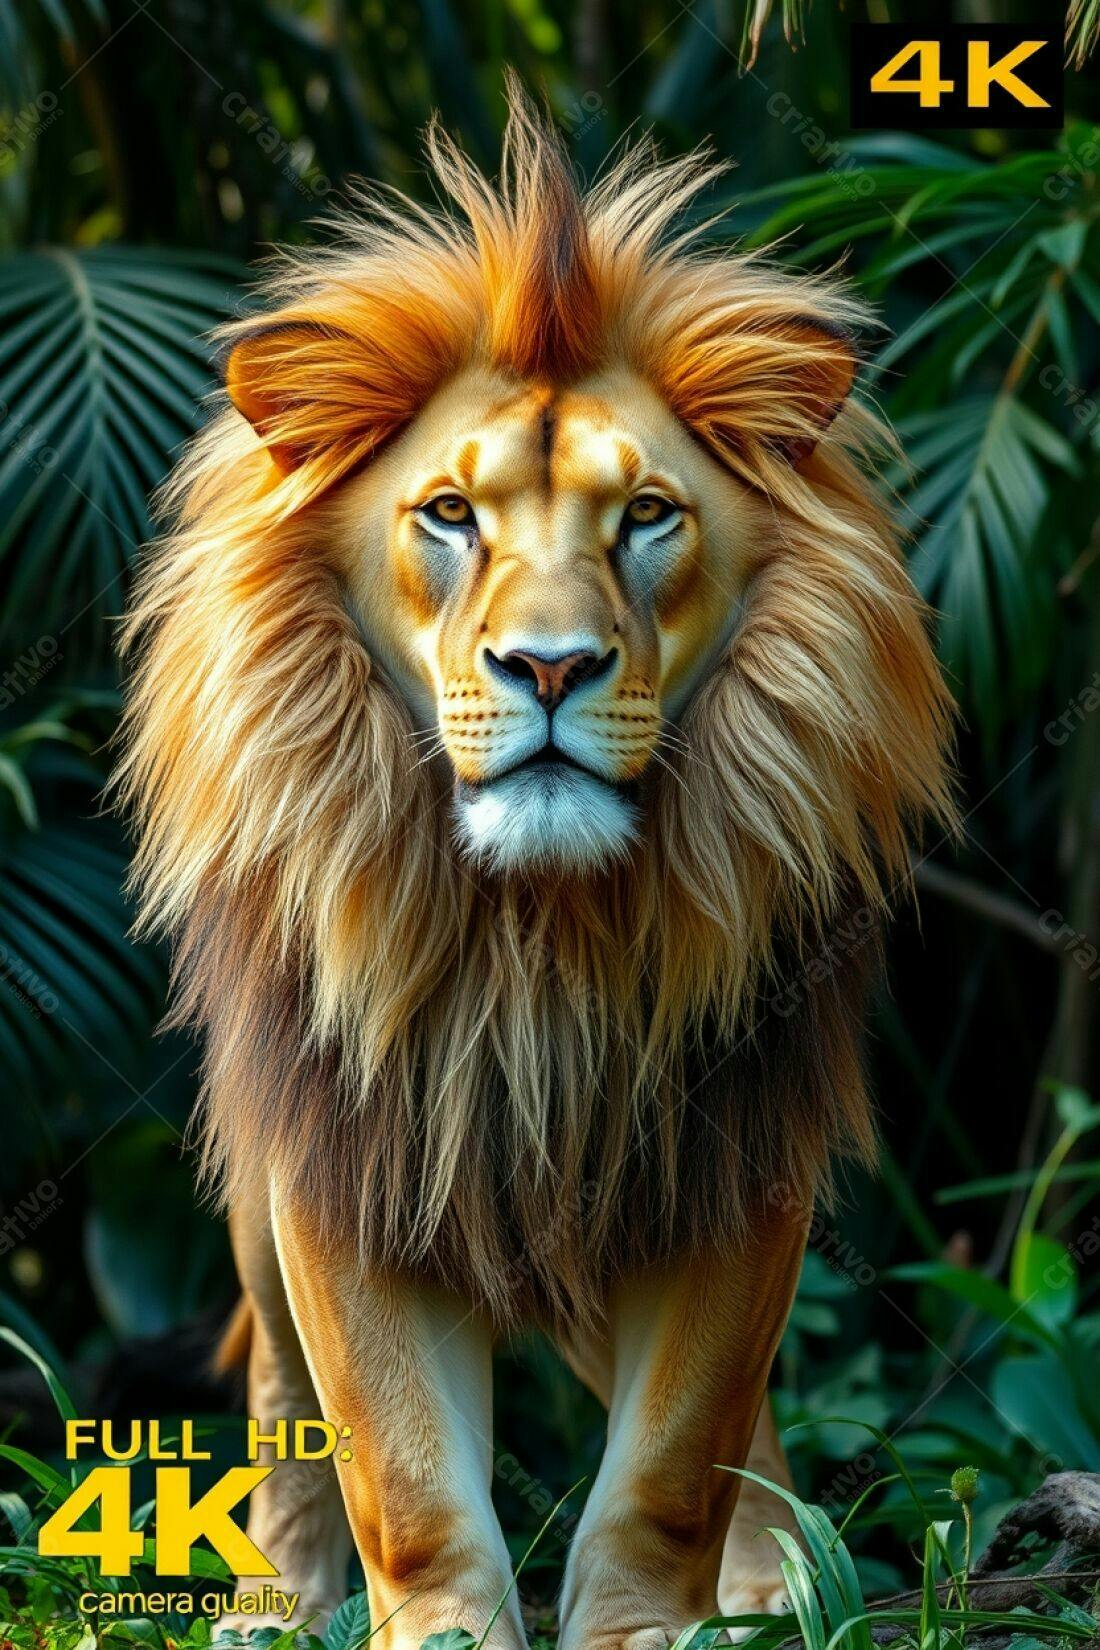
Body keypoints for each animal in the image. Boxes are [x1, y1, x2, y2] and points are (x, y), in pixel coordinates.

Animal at [119, 84, 953, 1650]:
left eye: (648, 516)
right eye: (450, 514)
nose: (552, 666)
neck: (542, 931)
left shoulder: (733, 1148)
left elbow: (679, 1452)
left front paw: (655, 1625)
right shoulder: (348, 1150)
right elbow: (401, 1472)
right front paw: (441, 1629)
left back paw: (780, 1577)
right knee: (275, 1385)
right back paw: (273, 1599)